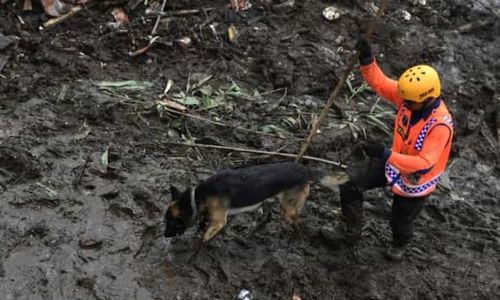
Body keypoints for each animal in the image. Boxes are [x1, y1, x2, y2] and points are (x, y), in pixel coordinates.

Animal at [164, 162, 348, 241]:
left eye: (173, 223)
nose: (165, 235)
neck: (196, 198)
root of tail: (305, 169)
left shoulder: (219, 221)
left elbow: (205, 236)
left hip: (287, 210)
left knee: (299, 223)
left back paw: (295, 238)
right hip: (268, 202)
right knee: (267, 218)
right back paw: (250, 235)